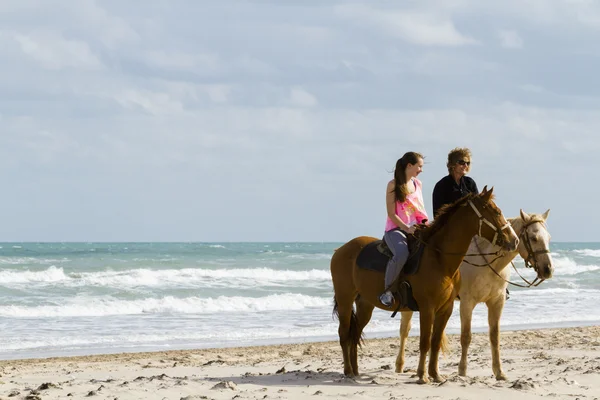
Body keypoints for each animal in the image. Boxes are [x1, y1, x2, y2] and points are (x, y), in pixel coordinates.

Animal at [330, 188, 516, 384]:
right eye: (497, 212)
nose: (513, 240)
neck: (440, 258)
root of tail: (341, 250)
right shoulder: (428, 307)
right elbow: (425, 341)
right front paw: (422, 376)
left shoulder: (446, 308)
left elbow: (435, 341)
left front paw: (435, 374)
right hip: (345, 300)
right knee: (344, 334)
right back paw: (348, 370)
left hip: (365, 304)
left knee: (355, 333)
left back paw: (356, 371)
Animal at [396, 208, 556, 380]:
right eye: (533, 238)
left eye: (549, 238)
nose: (548, 270)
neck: (488, 263)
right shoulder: (467, 302)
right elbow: (466, 336)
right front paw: (462, 370)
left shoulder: (497, 302)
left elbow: (494, 336)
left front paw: (499, 372)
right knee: (405, 330)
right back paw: (400, 365)